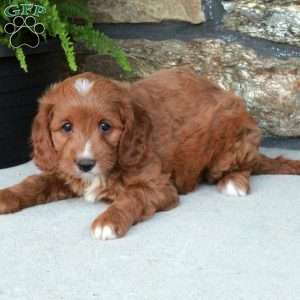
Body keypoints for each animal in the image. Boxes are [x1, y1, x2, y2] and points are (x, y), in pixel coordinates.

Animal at [0, 67, 300, 240]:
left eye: (105, 126)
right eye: (66, 127)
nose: (86, 164)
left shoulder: (159, 186)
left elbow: (132, 197)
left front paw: (109, 220)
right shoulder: (63, 169)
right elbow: (34, 182)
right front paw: (6, 196)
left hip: (228, 140)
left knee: (246, 165)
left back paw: (233, 182)